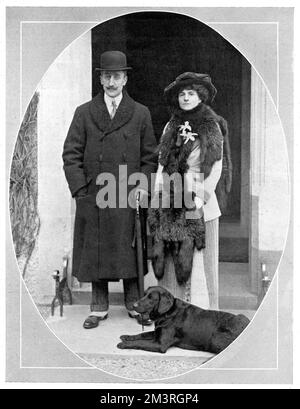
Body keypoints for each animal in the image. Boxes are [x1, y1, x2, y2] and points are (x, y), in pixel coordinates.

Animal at [117, 284, 251, 354]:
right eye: (144, 294)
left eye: (151, 298)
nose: (133, 305)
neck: (167, 313)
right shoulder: (157, 333)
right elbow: (141, 335)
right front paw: (127, 337)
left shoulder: (160, 344)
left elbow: (140, 343)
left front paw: (123, 344)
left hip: (216, 338)